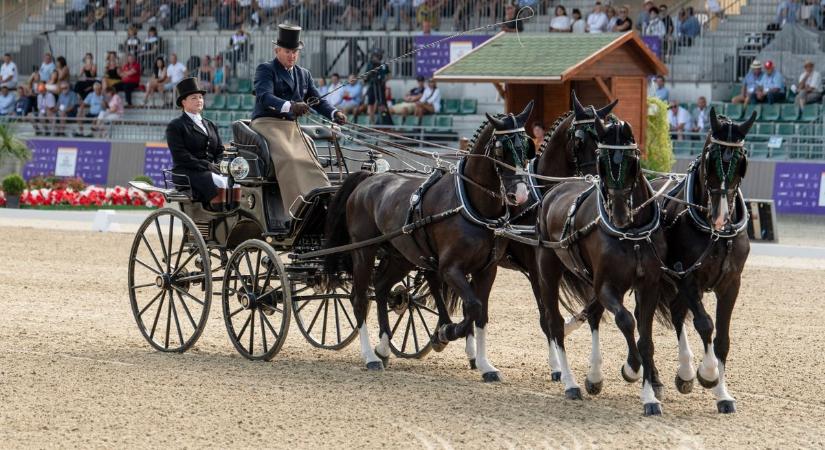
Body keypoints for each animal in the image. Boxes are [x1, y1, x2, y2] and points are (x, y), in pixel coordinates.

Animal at [322, 102, 536, 380]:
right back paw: (370, 356)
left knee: (381, 288)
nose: (520, 194)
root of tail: (368, 180)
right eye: (500, 150)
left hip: (401, 256)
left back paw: (383, 348)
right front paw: (445, 333)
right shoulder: (450, 268)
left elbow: (481, 314)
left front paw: (485, 365)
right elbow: (473, 306)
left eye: (527, 146)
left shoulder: (487, 271)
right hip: (364, 252)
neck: (470, 205)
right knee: (359, 300)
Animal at [536, 116, 668, 414]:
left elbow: (646, 339)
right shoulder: (607, 286)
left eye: (632, 160)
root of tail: (555, 190)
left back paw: (593, 377)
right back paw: (570, 383)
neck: (631, 234)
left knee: (593, 315)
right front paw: (631, 368)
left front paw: (650, 397)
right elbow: (625, 320)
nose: (618, 214)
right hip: (547, 270)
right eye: (601, 162)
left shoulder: (650, 286)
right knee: (555, 323)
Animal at [656, 108, 752, 412]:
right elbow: (705, 324)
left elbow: (722, 338)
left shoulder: (731, 284)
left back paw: (684, 374)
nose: (721, 216)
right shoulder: (687, 277)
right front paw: (707, 374)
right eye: (710, 159)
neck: (716, 234)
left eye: (741, 162)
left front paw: (723, 394)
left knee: (676, 313)